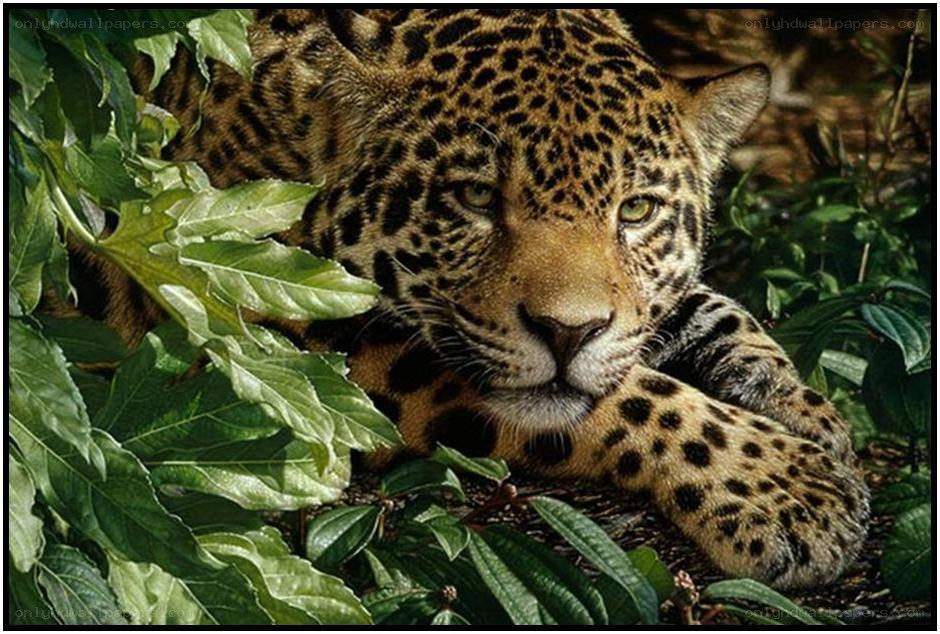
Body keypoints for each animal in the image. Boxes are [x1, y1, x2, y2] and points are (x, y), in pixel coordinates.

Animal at [108, 9, 869, 589]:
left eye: (635, 210)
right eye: (475, 198)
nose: (568, 333)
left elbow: (704, 312)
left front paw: (803, 409)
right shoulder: (265, 316)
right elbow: (629, 395)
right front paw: (788, 488)